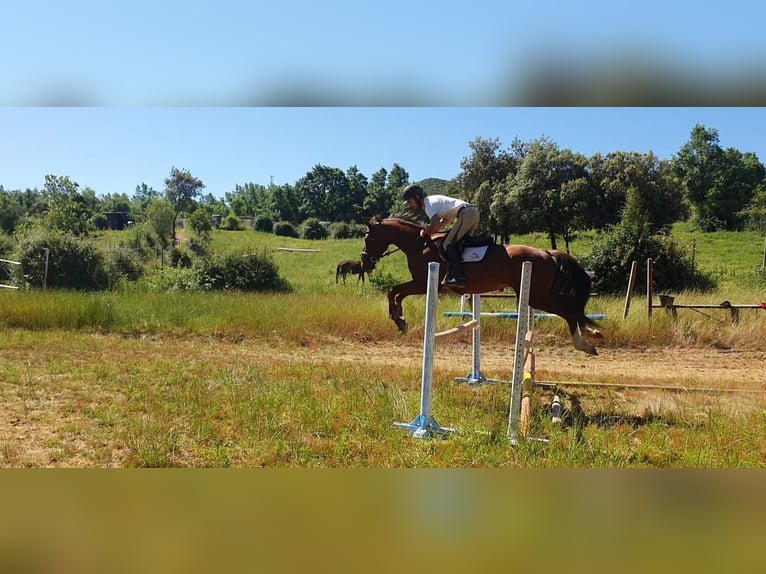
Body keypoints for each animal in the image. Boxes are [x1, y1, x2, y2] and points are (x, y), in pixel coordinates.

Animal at [360, 217, 608, 356]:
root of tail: (547, 252)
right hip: (538, 294)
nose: (365, 263)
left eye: (368, 239)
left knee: (568, 310)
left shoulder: (424, 283)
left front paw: (399, 319)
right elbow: (396, 292)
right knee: (572, 309)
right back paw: (591, 333)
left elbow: (394, 291)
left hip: (536, 296)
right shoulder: (422, 284)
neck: (418, 244)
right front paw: (399, 318)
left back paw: (584, 344)